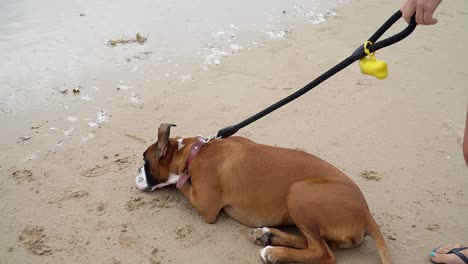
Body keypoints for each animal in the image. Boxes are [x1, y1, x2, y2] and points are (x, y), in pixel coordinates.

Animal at [135, 124, 392, 264]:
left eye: (145, 162)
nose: (137, 172)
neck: (195, 152)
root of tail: (366, 214)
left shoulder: (205, 206)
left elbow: (180, 182)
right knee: (314, 243)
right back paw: (268, 236)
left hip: (298, 192)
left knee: (323, 252)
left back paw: (274, 253)